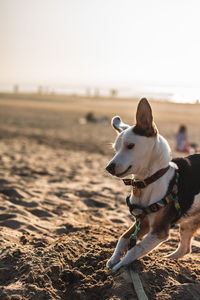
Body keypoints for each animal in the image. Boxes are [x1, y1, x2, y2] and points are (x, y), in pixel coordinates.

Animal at [105, 98, 199, 272]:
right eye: (115, 149)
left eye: (130, 146)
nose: (109, 168)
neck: (149, 181)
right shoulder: (143, 222)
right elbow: (123, 238)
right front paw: (114, 259)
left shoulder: (159, 231)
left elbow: (136, 249)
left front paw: (120, 266)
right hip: (188, 223)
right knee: (185, 248)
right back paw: (166, 260)